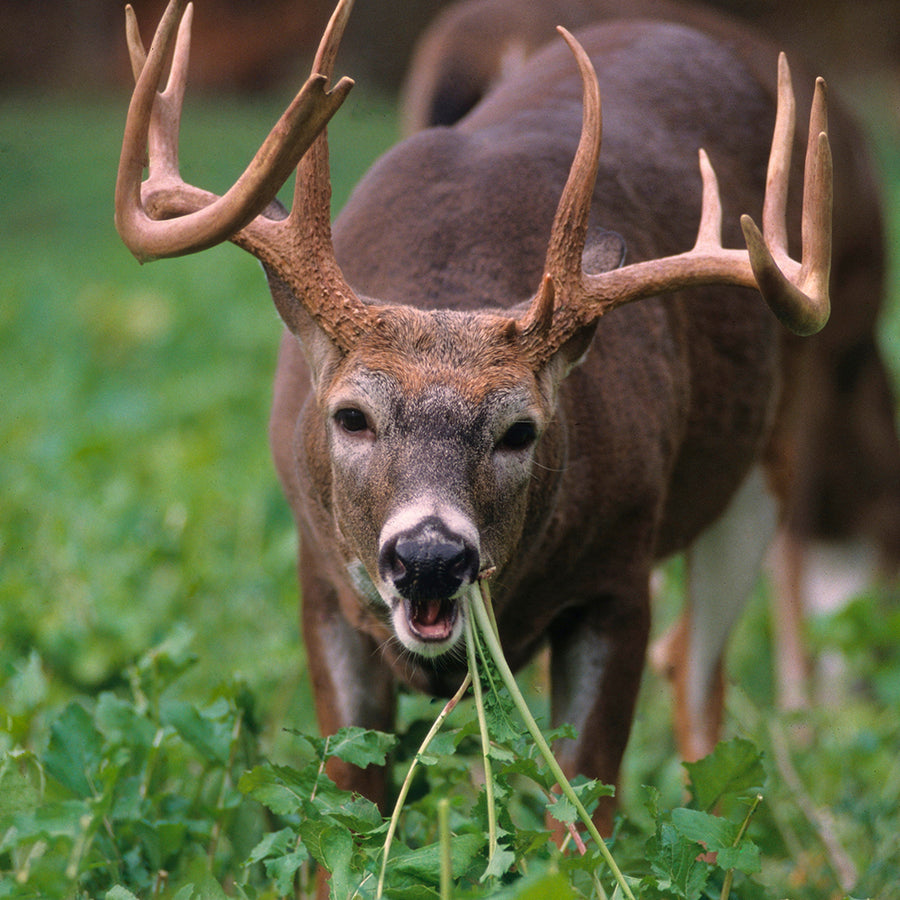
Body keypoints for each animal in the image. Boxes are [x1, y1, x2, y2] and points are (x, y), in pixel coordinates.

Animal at [116, 0, 833, 833]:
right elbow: (344, 808)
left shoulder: (618, 578)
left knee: (699, 679)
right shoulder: (320, 580)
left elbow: (581, 806)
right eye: (351, 416)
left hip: (763, 465)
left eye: (521, 430)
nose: (430, 556)